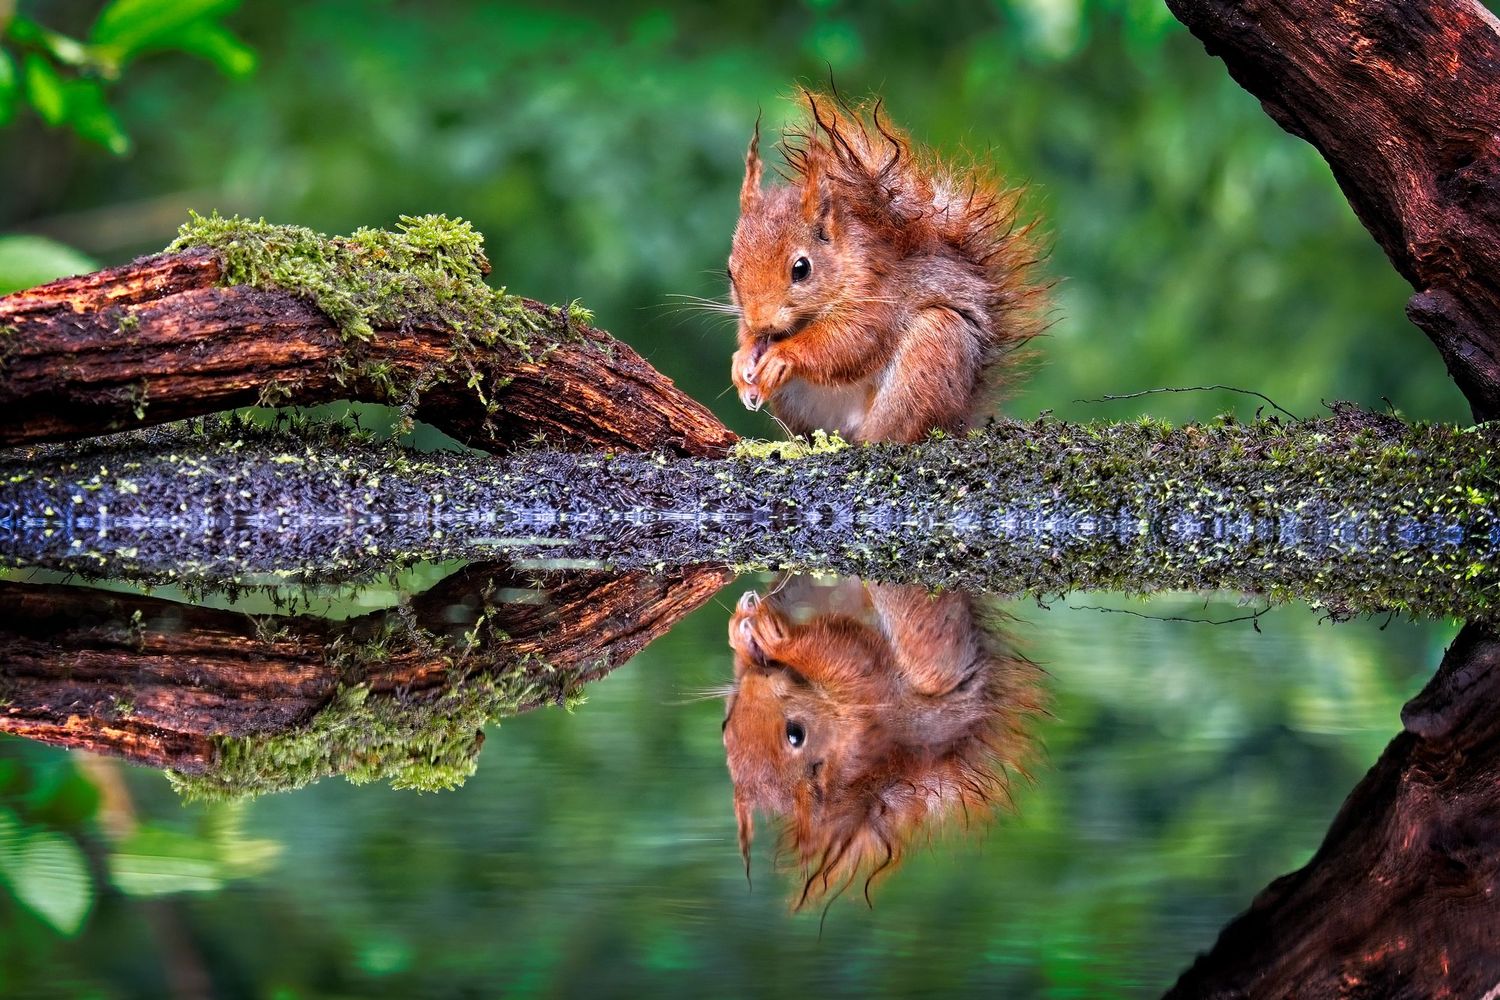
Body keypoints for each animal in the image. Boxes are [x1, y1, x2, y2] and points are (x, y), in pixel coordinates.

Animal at [722, 576, 1043, 910]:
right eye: (726, 724)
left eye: (795, 733)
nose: (757, 680)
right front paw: (755, 639)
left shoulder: (862, 685)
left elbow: (830, 647)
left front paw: (757, 637)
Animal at [727, 90, 1047, 444]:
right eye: (731, 272)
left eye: (801, 268)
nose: (761, 323)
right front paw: (743, 360)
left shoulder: (877, 295)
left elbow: (850, 342)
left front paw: (783, 356)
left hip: (930, 357)